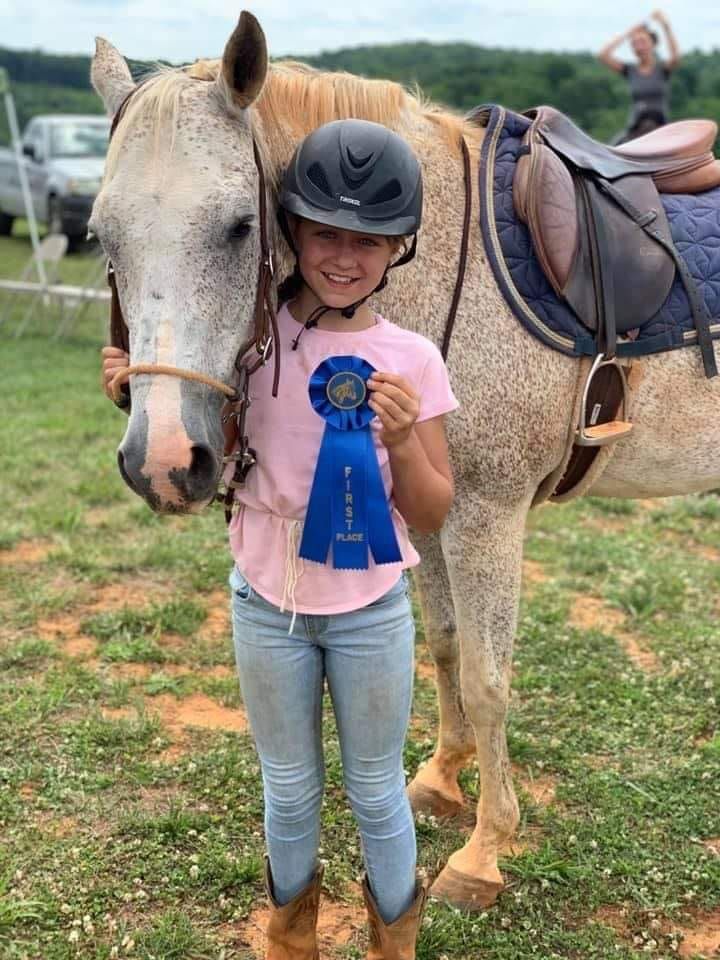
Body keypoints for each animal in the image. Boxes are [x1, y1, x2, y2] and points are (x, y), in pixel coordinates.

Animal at [90, 10, 720, 912]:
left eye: (239, 226)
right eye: (102, 235)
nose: (167, 462)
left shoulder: (489, 514)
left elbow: (490, 679)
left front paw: (485, 851)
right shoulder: (434, 511)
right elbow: (448, 646)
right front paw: (442, 779)